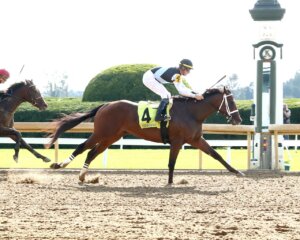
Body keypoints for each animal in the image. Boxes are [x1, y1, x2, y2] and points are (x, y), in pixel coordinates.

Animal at [48, 87, 243, 185]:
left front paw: (237, 171)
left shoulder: (195, 140)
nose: (239, 119)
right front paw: (170, 182)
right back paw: (59, 165)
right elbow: (171, 163)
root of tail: (105, 105)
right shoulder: (177, 141)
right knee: (82, 147)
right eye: (231, 100)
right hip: (101, 133)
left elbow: (216, 155)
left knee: (91, 152)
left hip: (112, 137)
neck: (191, 112)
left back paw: (83, 176)